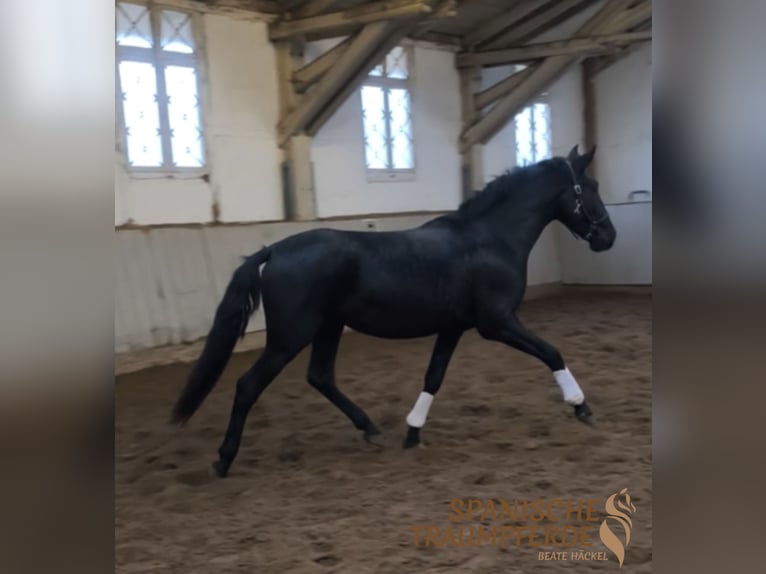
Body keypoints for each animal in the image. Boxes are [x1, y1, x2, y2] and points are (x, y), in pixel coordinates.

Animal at [171, 144, 616, 478]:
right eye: (589, 186)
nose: (608, 237)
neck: (489, 239)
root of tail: (274, 250)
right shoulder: (497, 322)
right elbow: (551, 352)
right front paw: (581, 407)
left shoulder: (454, 327)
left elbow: (434, 377)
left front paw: (413, 433)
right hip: (290, 337)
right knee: (248, 385)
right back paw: (224, 459)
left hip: (328, 328)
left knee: (320, 377)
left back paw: (370, 429)